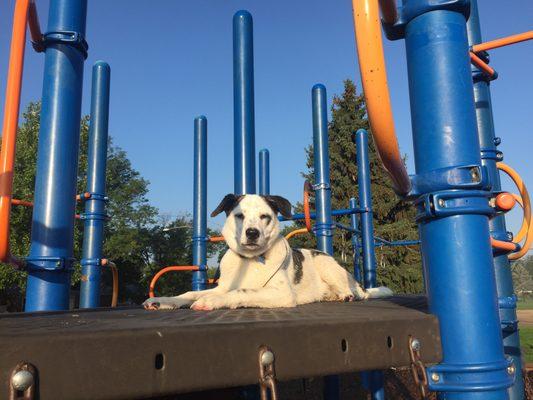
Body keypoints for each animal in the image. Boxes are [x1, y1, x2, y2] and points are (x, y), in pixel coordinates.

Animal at [141, 195, 390, 312]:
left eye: (265, 216)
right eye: (239, 216)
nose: (252, 233)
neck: (250, 261)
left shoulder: (281, 294)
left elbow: (242, 291)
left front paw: (211, 300)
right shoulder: (222, 285)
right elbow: (190, 293)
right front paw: (162, 300)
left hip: (327, 265)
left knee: (357, 294)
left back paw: (346, 295)